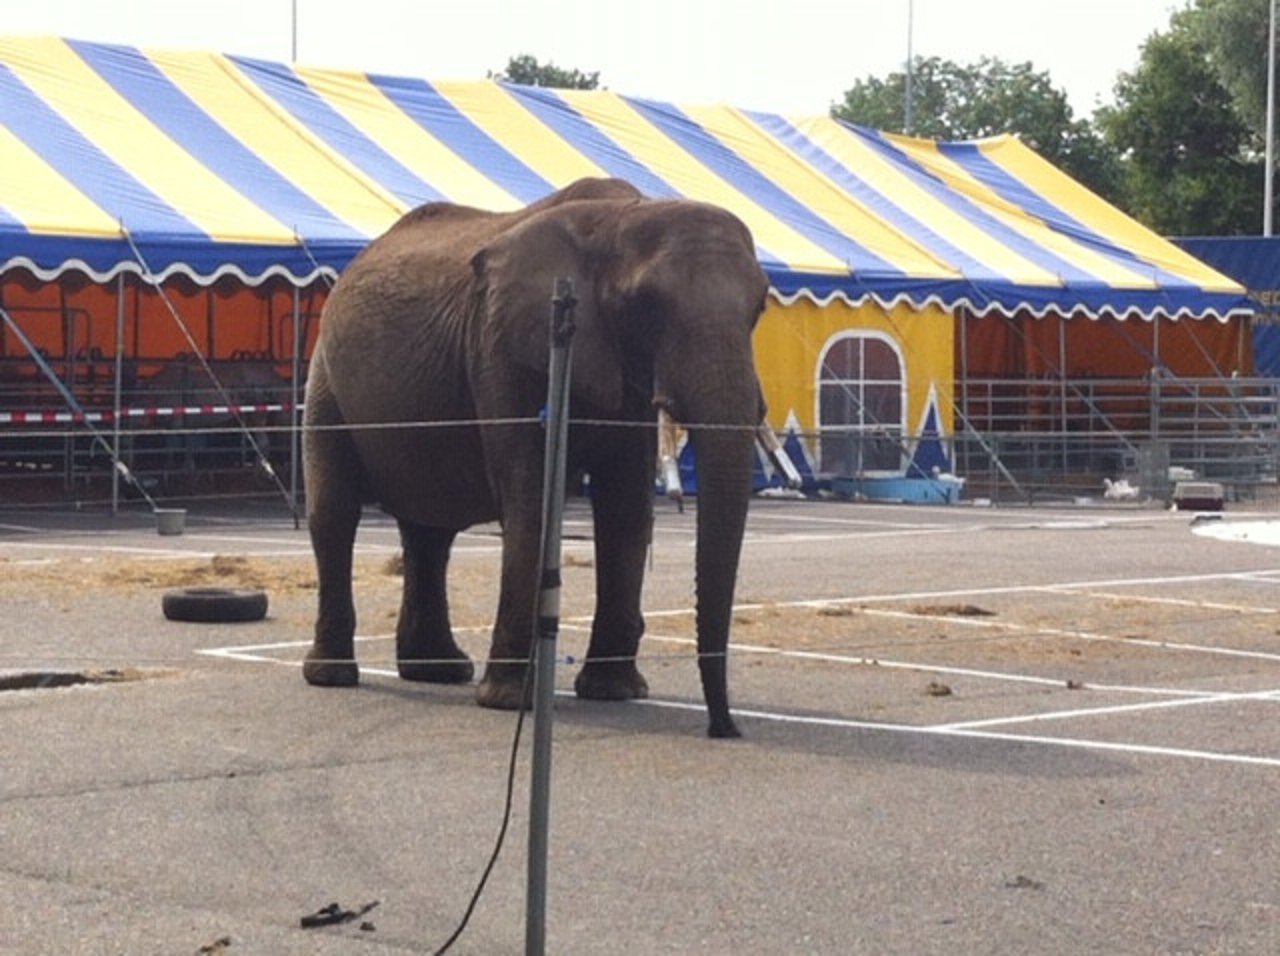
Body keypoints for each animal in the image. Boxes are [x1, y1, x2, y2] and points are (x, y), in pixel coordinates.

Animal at [304, 175, 768, 737]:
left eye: (761, 309)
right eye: (645, 303)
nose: (725, 727)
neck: (620, 217)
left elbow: (625, 509)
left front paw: (614, 692)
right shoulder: (507, 344)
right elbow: (532, 498)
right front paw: (507, 701)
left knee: (429, 531)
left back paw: (440, 671)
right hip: (325, 382)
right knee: (335, 513)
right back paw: (332, 677)